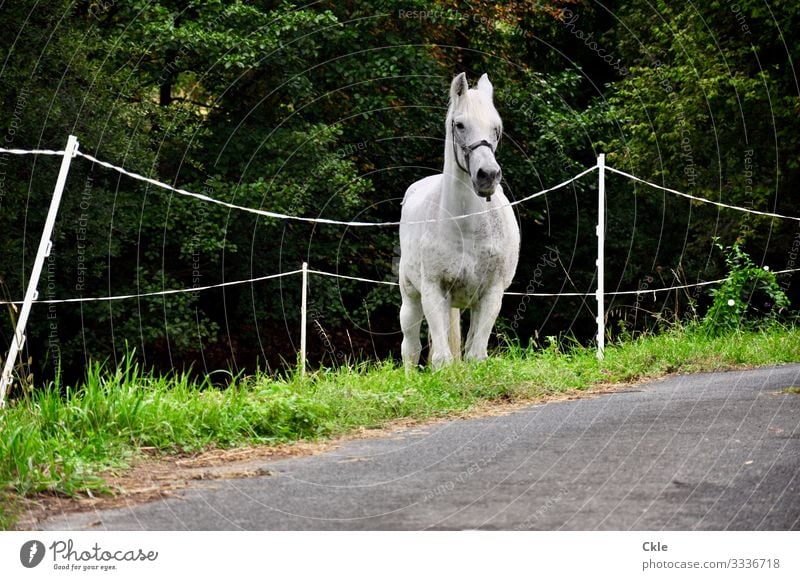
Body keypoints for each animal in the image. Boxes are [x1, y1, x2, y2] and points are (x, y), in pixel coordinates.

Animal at [398, 73, 520, 372]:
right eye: (459, 124)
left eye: (497, 128)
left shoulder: (490, 294)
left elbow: (475, 356)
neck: (465, 227)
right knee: (411, 349)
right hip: (411, 299)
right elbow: (442, 360)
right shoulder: (433, 291)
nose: (488, 175)